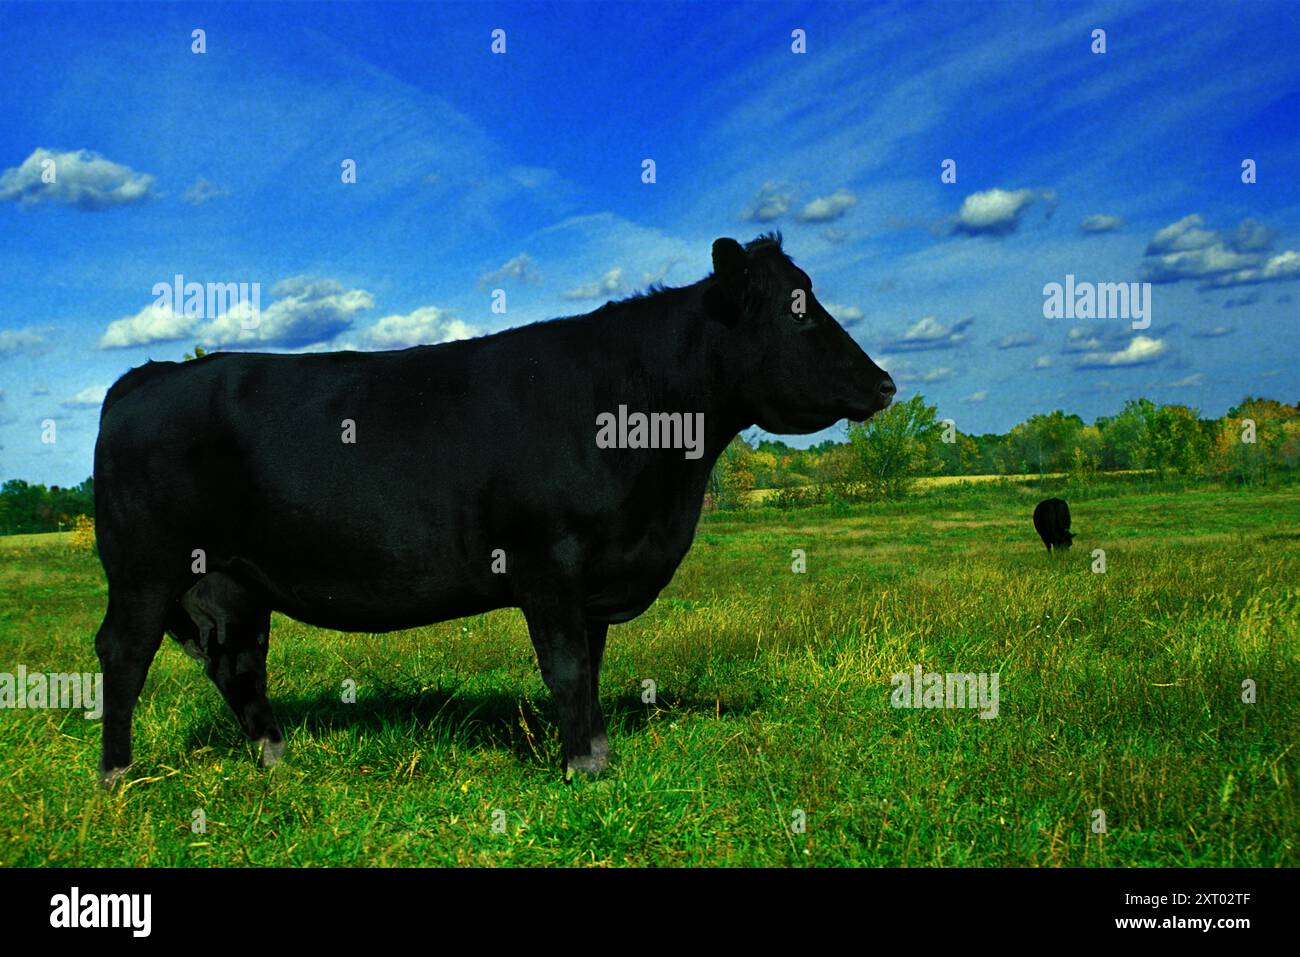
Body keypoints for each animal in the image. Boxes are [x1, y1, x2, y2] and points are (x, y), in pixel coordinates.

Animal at [92, 232, 895, 786]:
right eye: (797, 314)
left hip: (233, 580)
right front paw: (583, 772)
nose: (886, 383)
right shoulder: (549, 562)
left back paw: (276, 758)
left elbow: (592, 668)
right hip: (145, 568)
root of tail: (149, 375)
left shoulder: (592, 579)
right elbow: (567, 668)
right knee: (123, 653)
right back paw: (117, 777)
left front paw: (597, 752)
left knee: (239, 662)